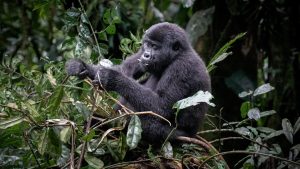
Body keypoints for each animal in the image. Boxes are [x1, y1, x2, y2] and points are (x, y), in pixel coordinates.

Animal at [65, 22, 211, 144]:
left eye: (155, 47)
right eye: (147, 44)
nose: (146, 54)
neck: (178, 54)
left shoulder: (182, 68)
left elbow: (162, 107)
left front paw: (112, 78)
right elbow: (125, 69)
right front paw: (81, 66)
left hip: (180, 136)